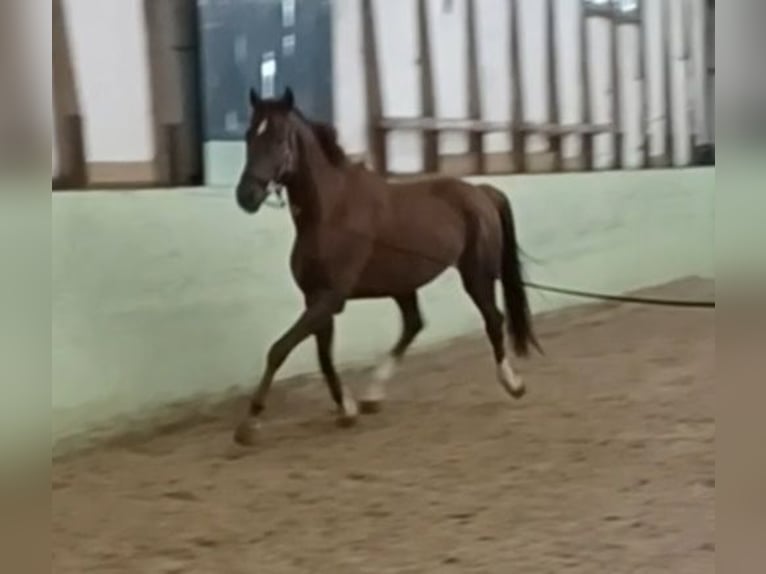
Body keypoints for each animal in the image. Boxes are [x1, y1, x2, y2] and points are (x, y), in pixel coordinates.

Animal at [233, 87, 541, 445]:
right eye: (249, 135)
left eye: (280, 138)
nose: (246, 196)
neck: (330, 213)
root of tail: (481, 192)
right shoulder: (317, 299)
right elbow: (324, 357)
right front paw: (346, 409)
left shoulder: (329, 299)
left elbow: (279, 350)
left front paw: (250, 423)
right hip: (404, 285)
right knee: (413, 325)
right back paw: (372, 396)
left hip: (476, 275)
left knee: (493, 319)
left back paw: (513, 383)